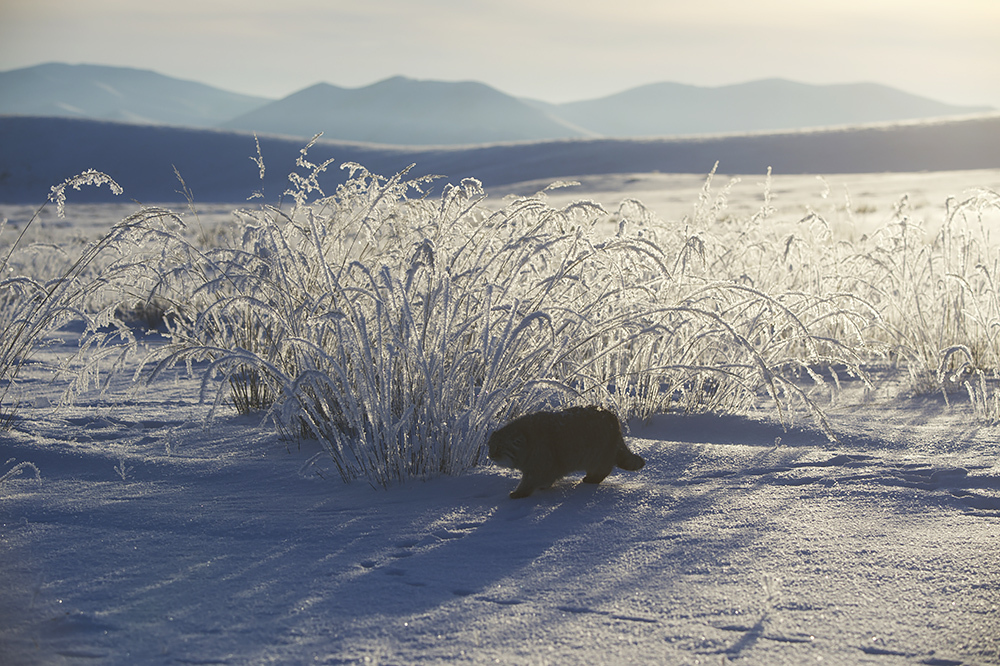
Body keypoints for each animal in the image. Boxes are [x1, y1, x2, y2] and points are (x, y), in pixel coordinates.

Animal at [488, 404, 644, 498]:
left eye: (499, 447)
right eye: (490, 445)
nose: (490, 455)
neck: (528, 440)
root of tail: (614, 419)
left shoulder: (540, 464)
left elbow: (531, 480)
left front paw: (521, 492)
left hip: (600, 454)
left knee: (603, 469)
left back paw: (593, 478)